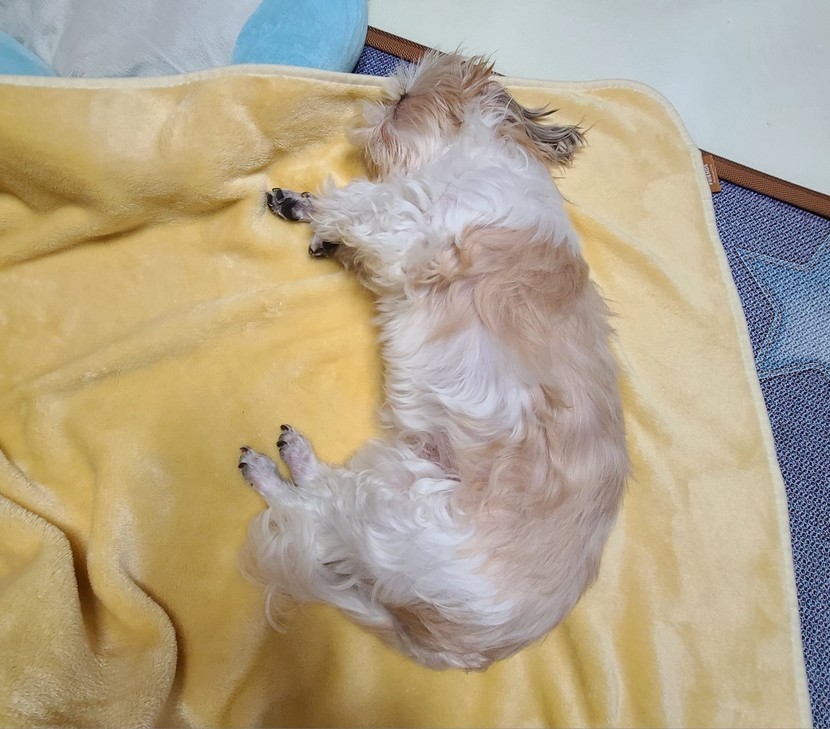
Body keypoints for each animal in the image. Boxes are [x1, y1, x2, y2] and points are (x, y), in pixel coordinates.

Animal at [238, 52, 629, 671]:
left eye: (401, 102)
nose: (372, 110)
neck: (475, 153)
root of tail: (459, 647)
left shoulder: (413, 225)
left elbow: (362, 200)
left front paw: (316, 211)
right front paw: (317, 226)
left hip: (400, 512)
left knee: (323, 510)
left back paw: (280, 464)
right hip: (401, 471)